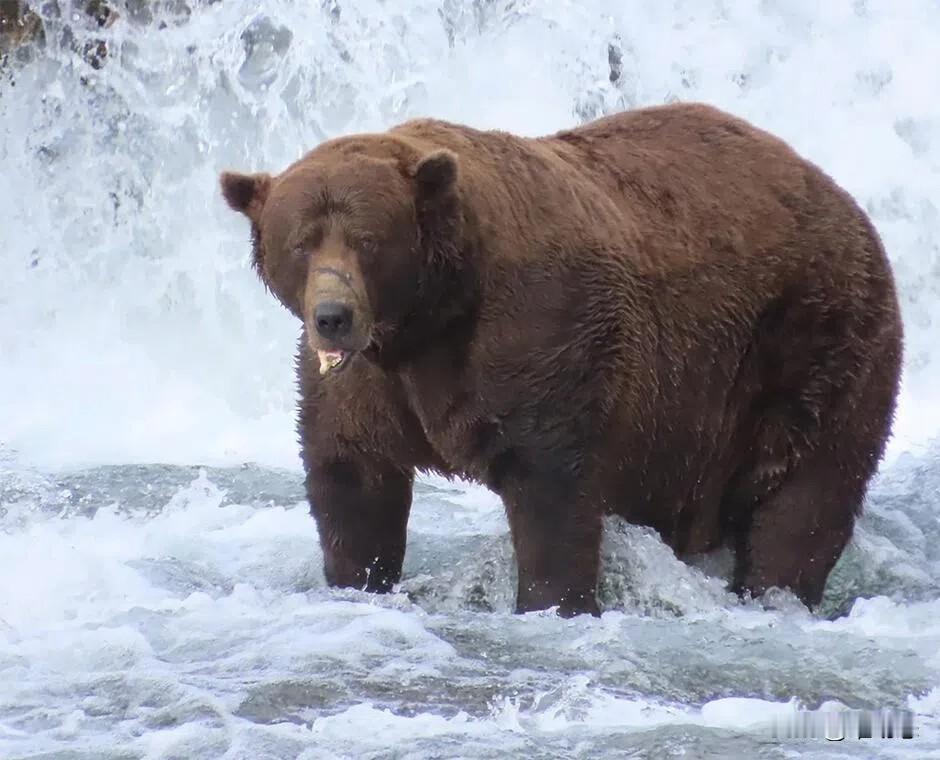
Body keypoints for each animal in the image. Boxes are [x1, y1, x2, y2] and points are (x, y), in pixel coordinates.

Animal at [219, 102, 903, 618]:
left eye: (367, 240)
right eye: (301, 242)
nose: (333, 315)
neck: (429, 320)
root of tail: (843, 198)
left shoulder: (541, 335)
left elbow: (551, 488)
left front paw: (553, 601)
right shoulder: (366, 383)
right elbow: (353, 477)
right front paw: (358, 579)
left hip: (811, 339)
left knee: (806, 492)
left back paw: (775, 591)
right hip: (692, 420)